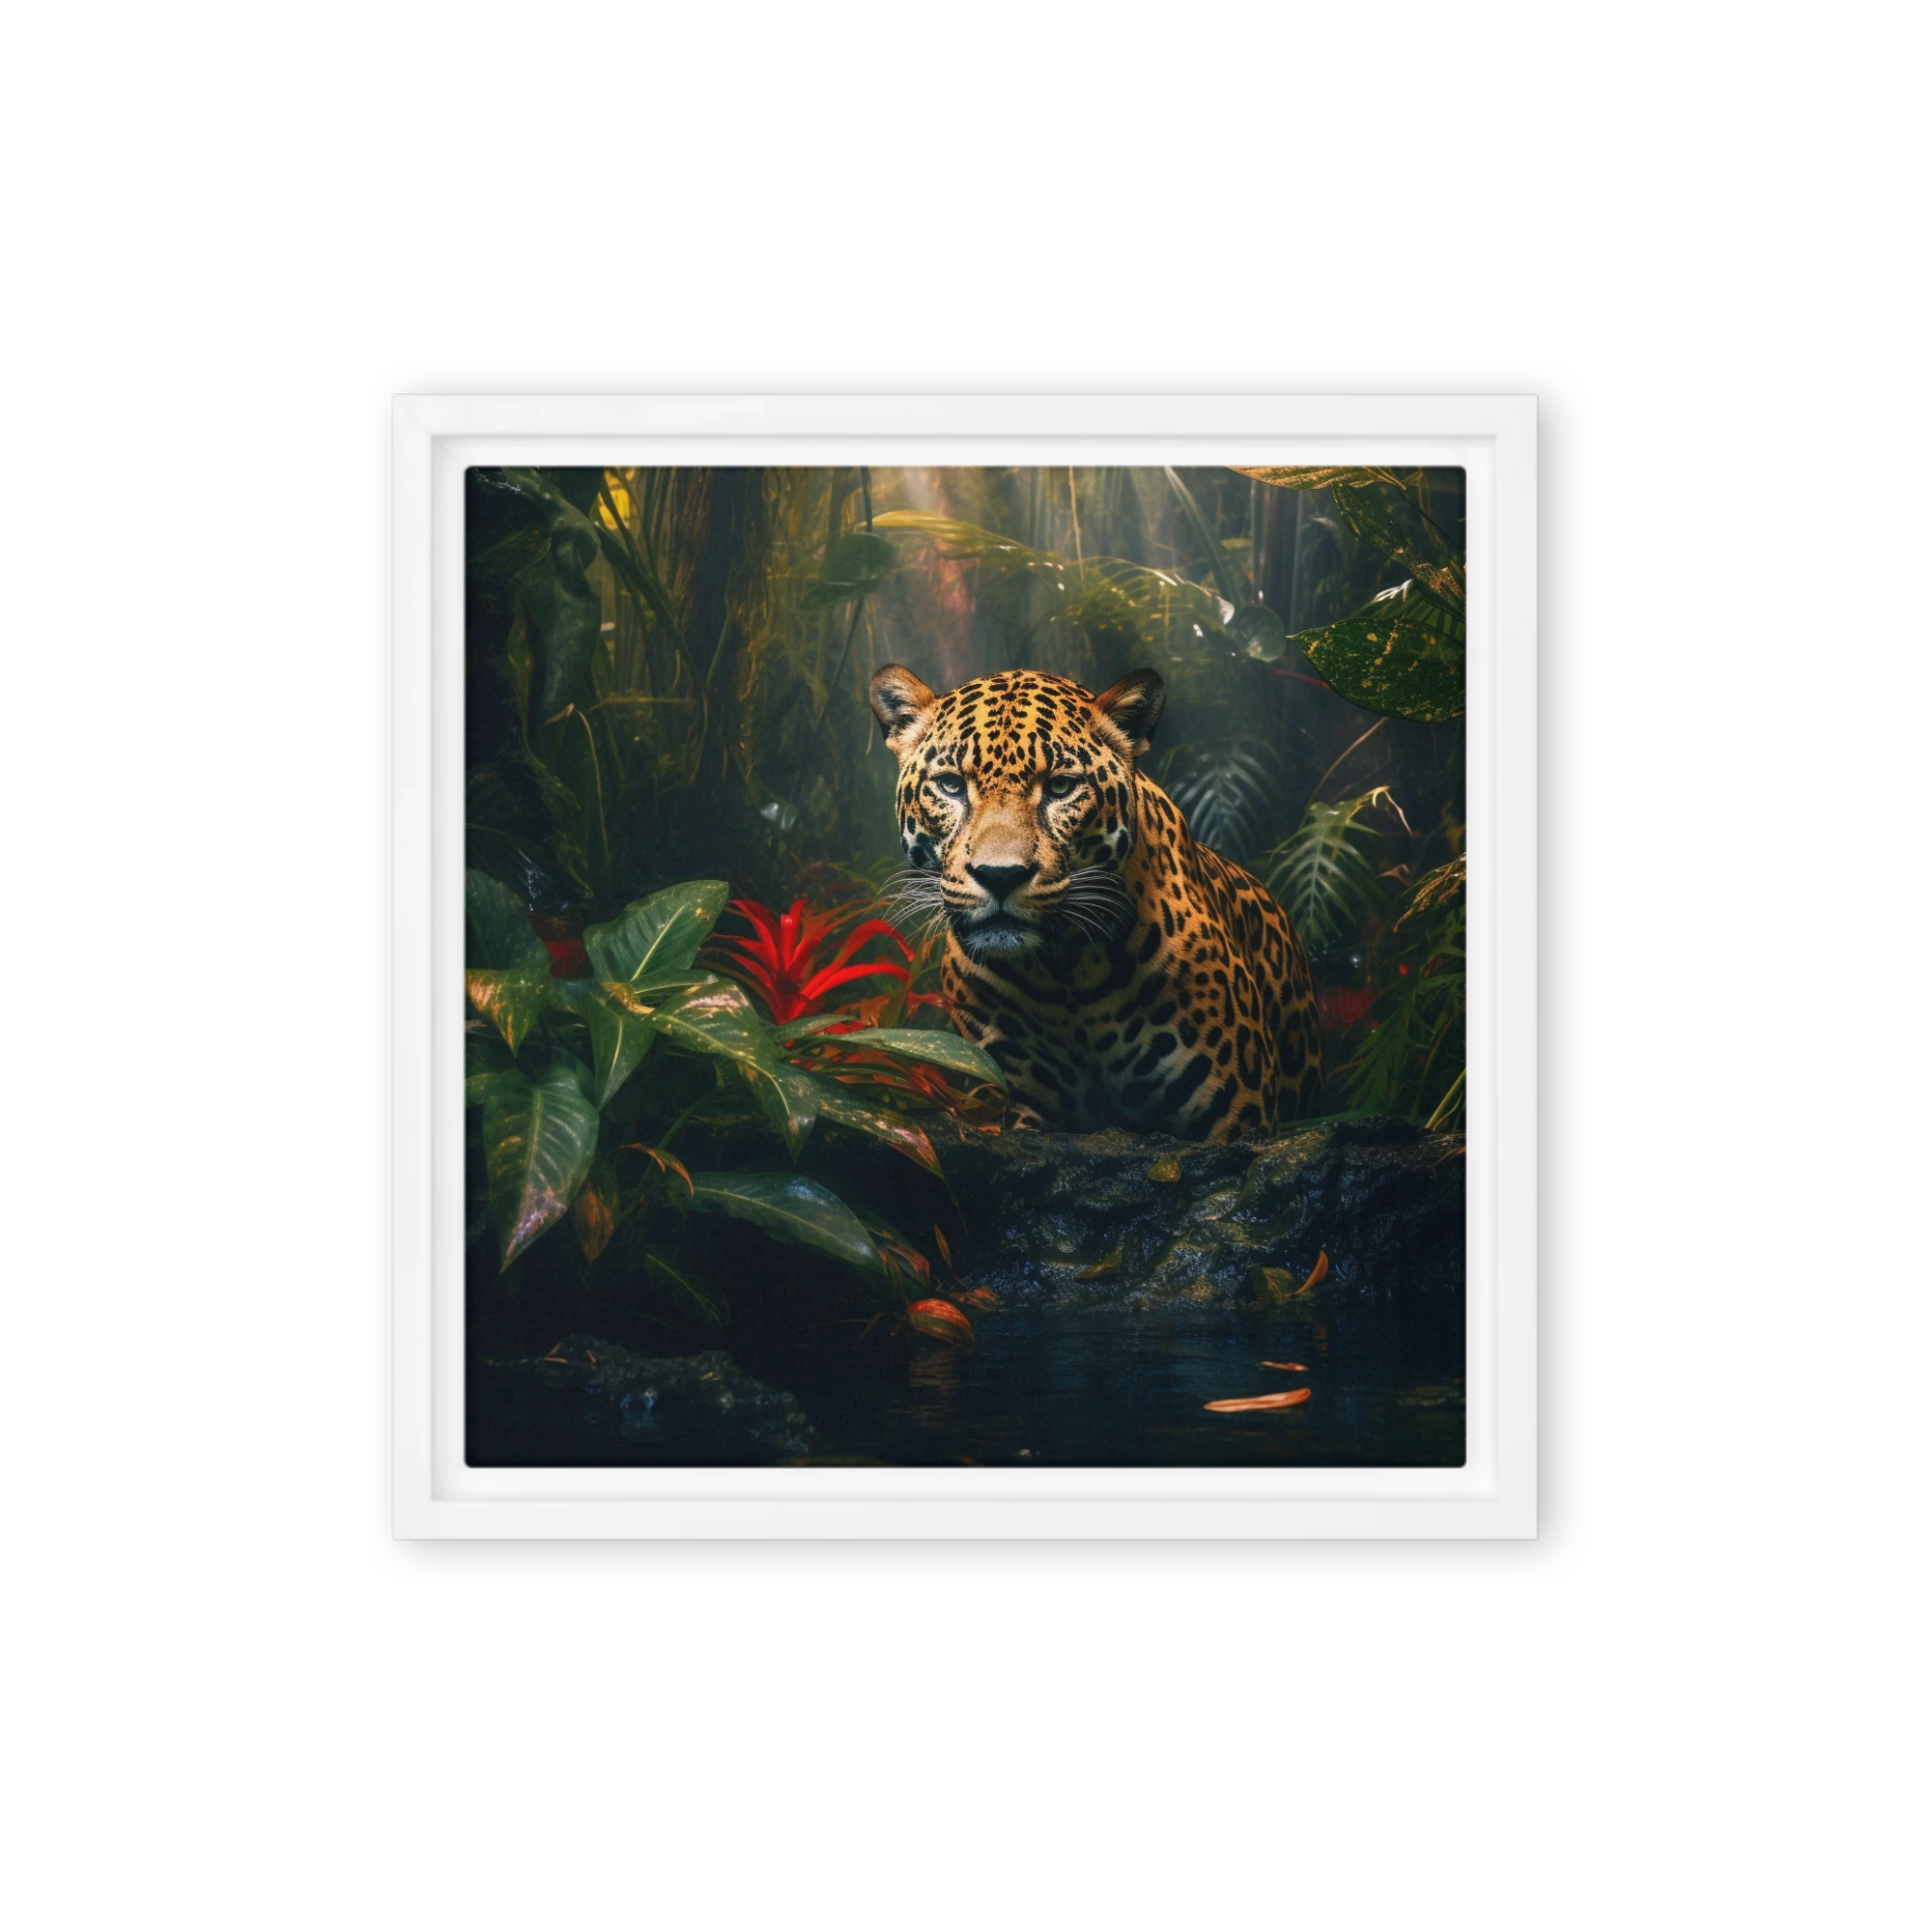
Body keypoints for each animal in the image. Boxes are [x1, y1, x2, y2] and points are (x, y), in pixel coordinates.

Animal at [869, 662, 1321, 1143]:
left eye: (1061, 787)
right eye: (951, 785)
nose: (1000, 875)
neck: (1065, 981)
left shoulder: (1238, 1116)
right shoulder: (1029, 1106)